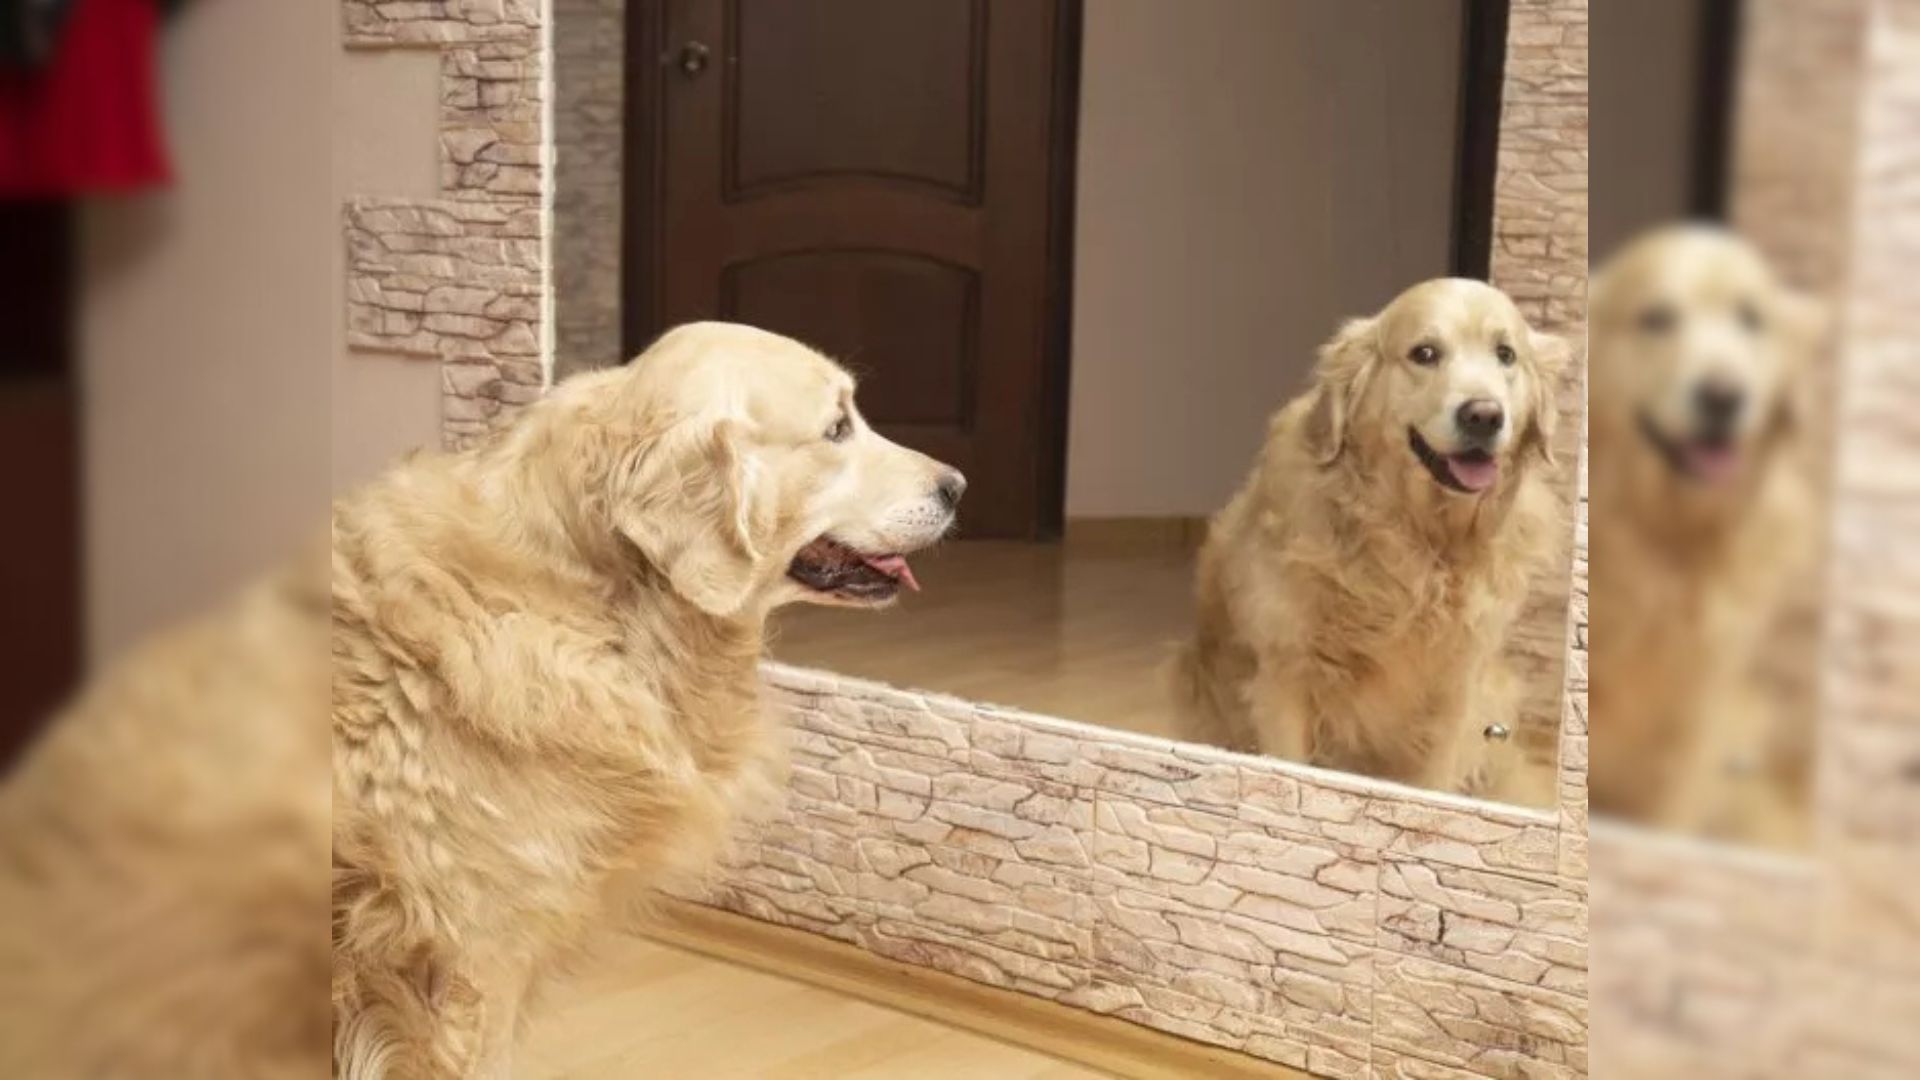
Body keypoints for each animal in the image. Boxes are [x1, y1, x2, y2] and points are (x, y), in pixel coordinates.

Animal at [1175, 276, 1566, 795]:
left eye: (1506, 354)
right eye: (1424, 353)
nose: (1483, 416)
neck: (1418, 543)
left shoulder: (1452, 700)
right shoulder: (1284, 677)